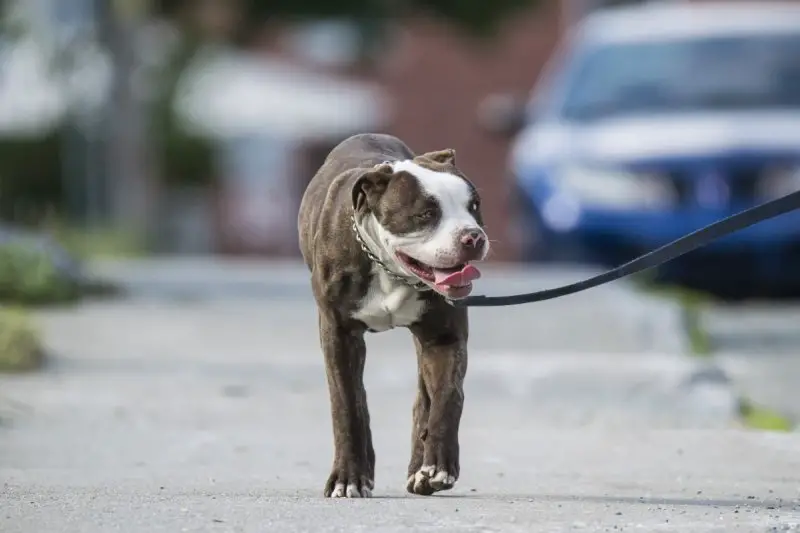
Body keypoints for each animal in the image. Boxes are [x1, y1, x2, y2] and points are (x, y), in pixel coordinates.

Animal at [298, 132, 490, 494]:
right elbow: (346, 405)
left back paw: (420, 470)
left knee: (424, 398)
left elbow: (447, 397)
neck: (390, 269)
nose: (472, 236)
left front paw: (439, 466)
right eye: (426, 214)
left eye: (474, 207)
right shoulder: (337, 335)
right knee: (359, 400)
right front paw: (347, 477)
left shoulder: (444, 338)